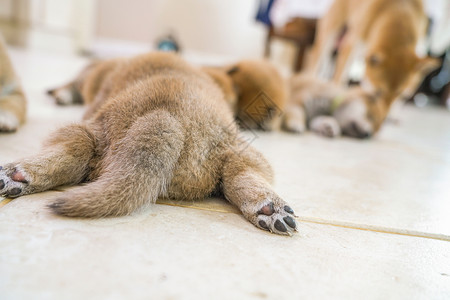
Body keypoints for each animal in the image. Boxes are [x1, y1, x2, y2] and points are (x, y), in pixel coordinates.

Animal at [0, 51, 298, 236]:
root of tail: (165, 117)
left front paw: (63, 92)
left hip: (91, 131)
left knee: (70, 152)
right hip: (237, 151)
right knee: (242, 176)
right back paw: (270, 209)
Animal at [308, 0, 438, 102]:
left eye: (401, 95)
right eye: (378, 93)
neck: (400, 10)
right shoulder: (350, 46)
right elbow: (339, 79)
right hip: (330, 32)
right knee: (317, 58)